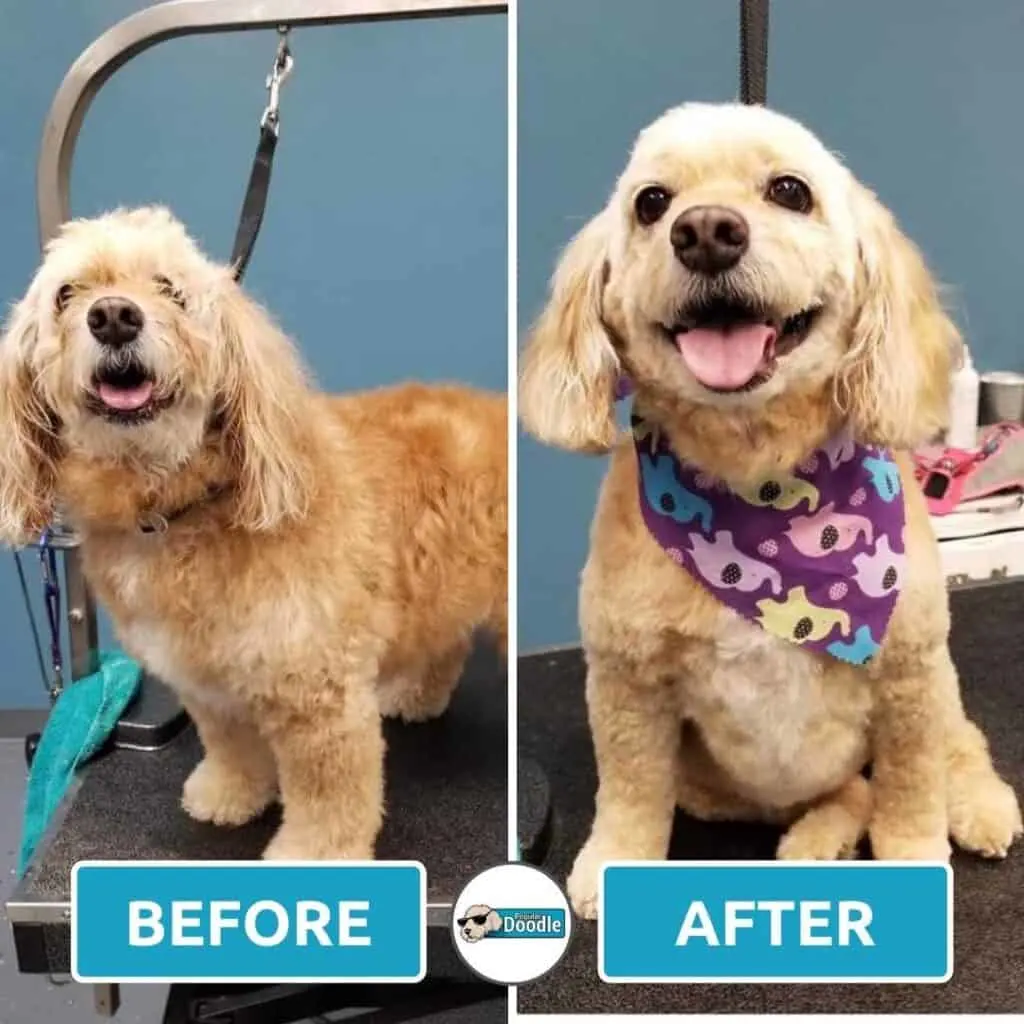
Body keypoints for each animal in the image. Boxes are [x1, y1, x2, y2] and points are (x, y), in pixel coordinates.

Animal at [0, 207, 509, 864]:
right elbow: (230, 745)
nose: (113, 316)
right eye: (67, 294)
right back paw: (417, 694)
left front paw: (313, 855)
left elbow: (327, 791)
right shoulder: (207, 682)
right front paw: (230, 795)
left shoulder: (319, 695)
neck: (180, 507)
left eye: (170, 290)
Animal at [524, 103, 1019, 921]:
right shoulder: (628, 681)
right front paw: (612, 861)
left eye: (790, 191)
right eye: (651, 204)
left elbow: (912, 790)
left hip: (937, 686)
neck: (759, 488)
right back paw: (819, 841)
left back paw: (981, 806)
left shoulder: (908, 672)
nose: (705, 231)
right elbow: (630, 790)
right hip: (717, 784)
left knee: (957, 747)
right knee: (845, 792)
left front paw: (919, 852)